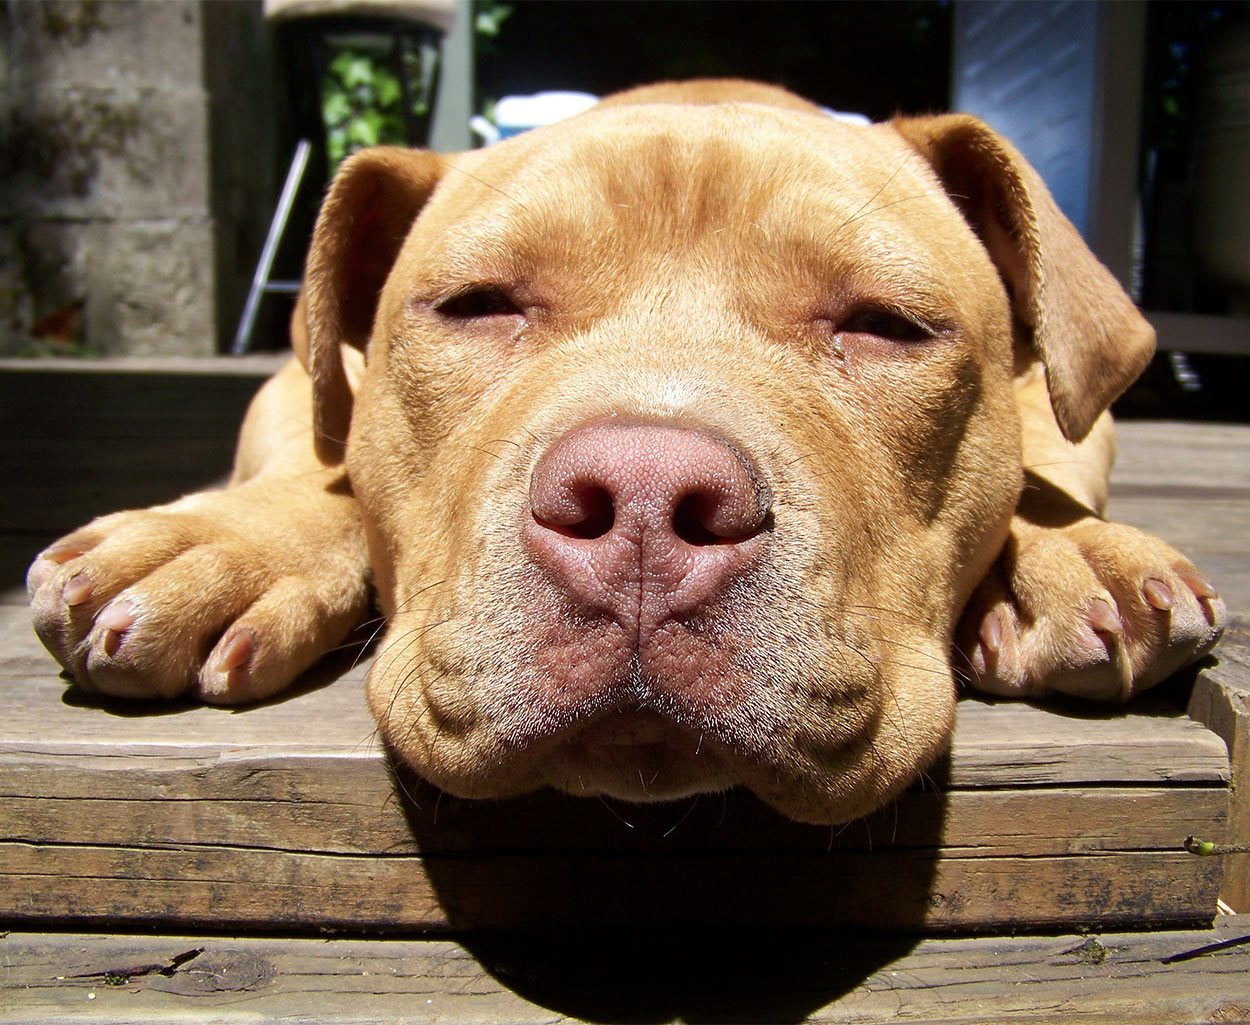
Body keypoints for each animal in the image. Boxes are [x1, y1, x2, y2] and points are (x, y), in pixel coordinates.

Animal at [26, 84, 1220, 830]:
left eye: (885, 325)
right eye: (477, 305)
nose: (645, 501)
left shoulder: (1069, 415)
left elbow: (1045, 471)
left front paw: (1062, 551)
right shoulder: (295, 385)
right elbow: (318, 469)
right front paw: (216, 546)